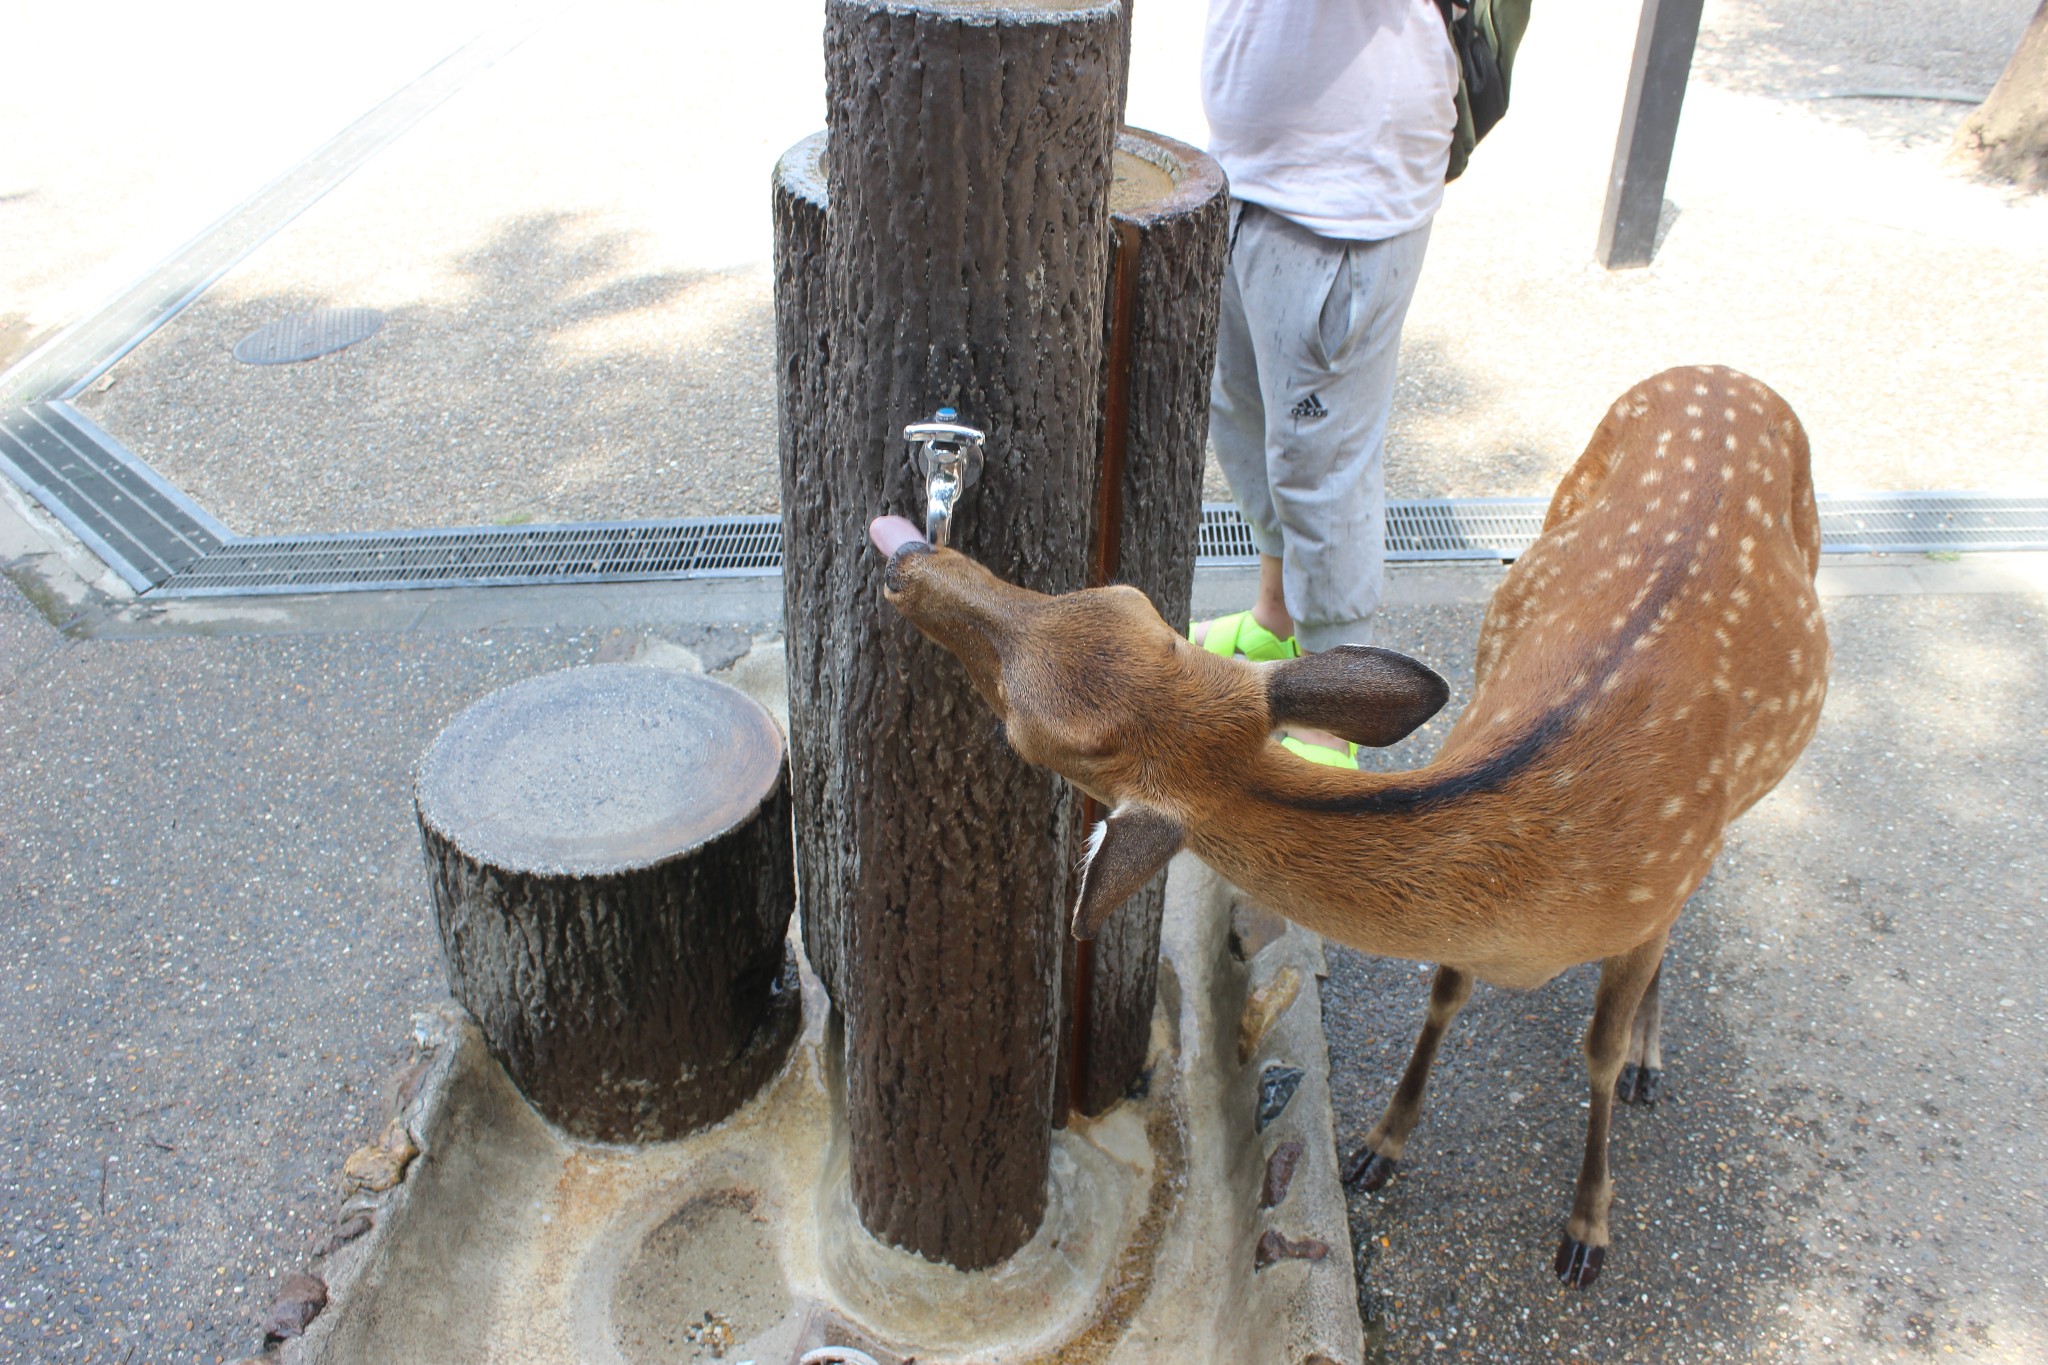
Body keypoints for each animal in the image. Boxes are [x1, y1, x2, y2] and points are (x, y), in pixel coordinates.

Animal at [864, 368, 1826, 1285]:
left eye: (1029, 732)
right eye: (1114, 592)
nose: (909, 561)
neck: (1538, 908)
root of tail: (1729, 374)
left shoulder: (1661, 872)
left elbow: (1597, 1046)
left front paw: (1588, 1229)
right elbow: (1445, 993)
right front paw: (1379, 1146)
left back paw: (1649, 1062)